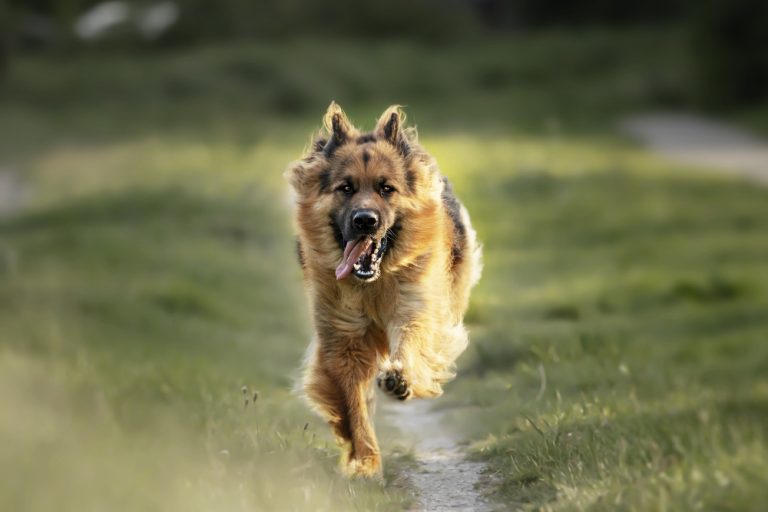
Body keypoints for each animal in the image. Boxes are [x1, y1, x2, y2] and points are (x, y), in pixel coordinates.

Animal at [284, 103, 484, 476]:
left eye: (386, 188)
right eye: (346, 188)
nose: (365, 220)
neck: (372, 284)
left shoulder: (416, 308)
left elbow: (412, 343)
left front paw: (400, 378)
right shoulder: (344, 339)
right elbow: (354, 405)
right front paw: (365, 461)